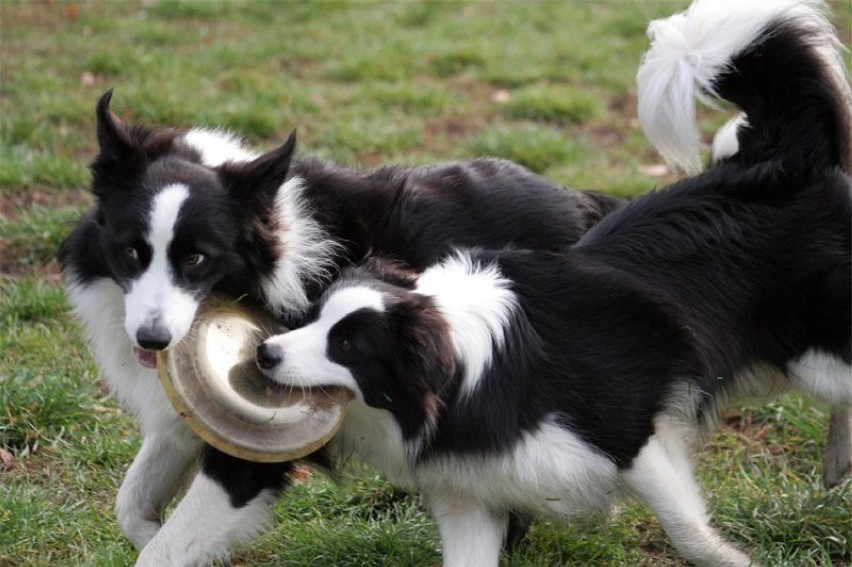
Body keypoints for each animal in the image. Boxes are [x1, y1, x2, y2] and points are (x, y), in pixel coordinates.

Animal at [58, 91, 620, 560]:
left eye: (197, 258)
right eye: (131, 251)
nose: (151, 339)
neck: (270, 250)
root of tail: (588, 201)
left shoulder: (252, 452)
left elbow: (166, 546)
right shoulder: (188, 415)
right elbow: (131, 505)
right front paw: (152, 529)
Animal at [260, 2, 852, 564]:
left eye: (348, 344)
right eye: (312, 317)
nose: (264, 353)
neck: (470, 373)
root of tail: (782, 161)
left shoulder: (631, 433)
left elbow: (686, 531)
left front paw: (733, 559)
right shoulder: (472, 494)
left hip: (815, 352)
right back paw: (837, 460)